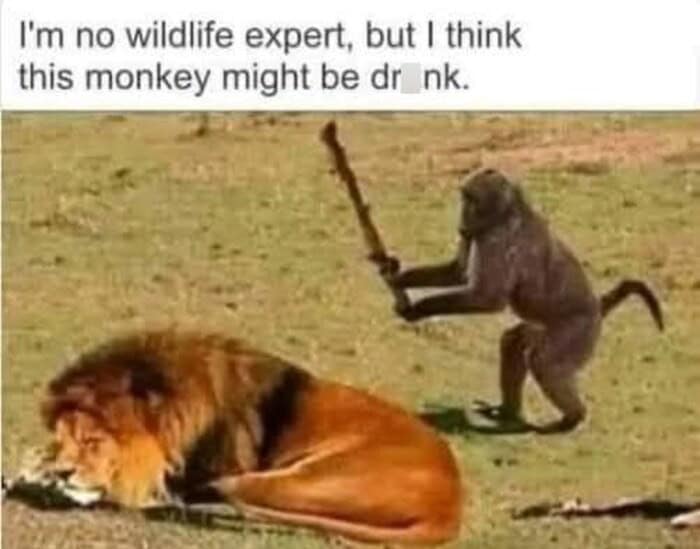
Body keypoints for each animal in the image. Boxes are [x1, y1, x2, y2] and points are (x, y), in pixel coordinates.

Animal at [380, 168, 664, 433]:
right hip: (543, 329)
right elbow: (458, 271)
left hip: (576, 331)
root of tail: (597, 307)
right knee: (513, 343)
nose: (461, 223)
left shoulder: (499, 239)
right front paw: (394, 275)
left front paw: (416, 310)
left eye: (470, 200)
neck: (510, 211)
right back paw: (507, 411)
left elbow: (488, 298)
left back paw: (572, 418)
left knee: (543, 363)